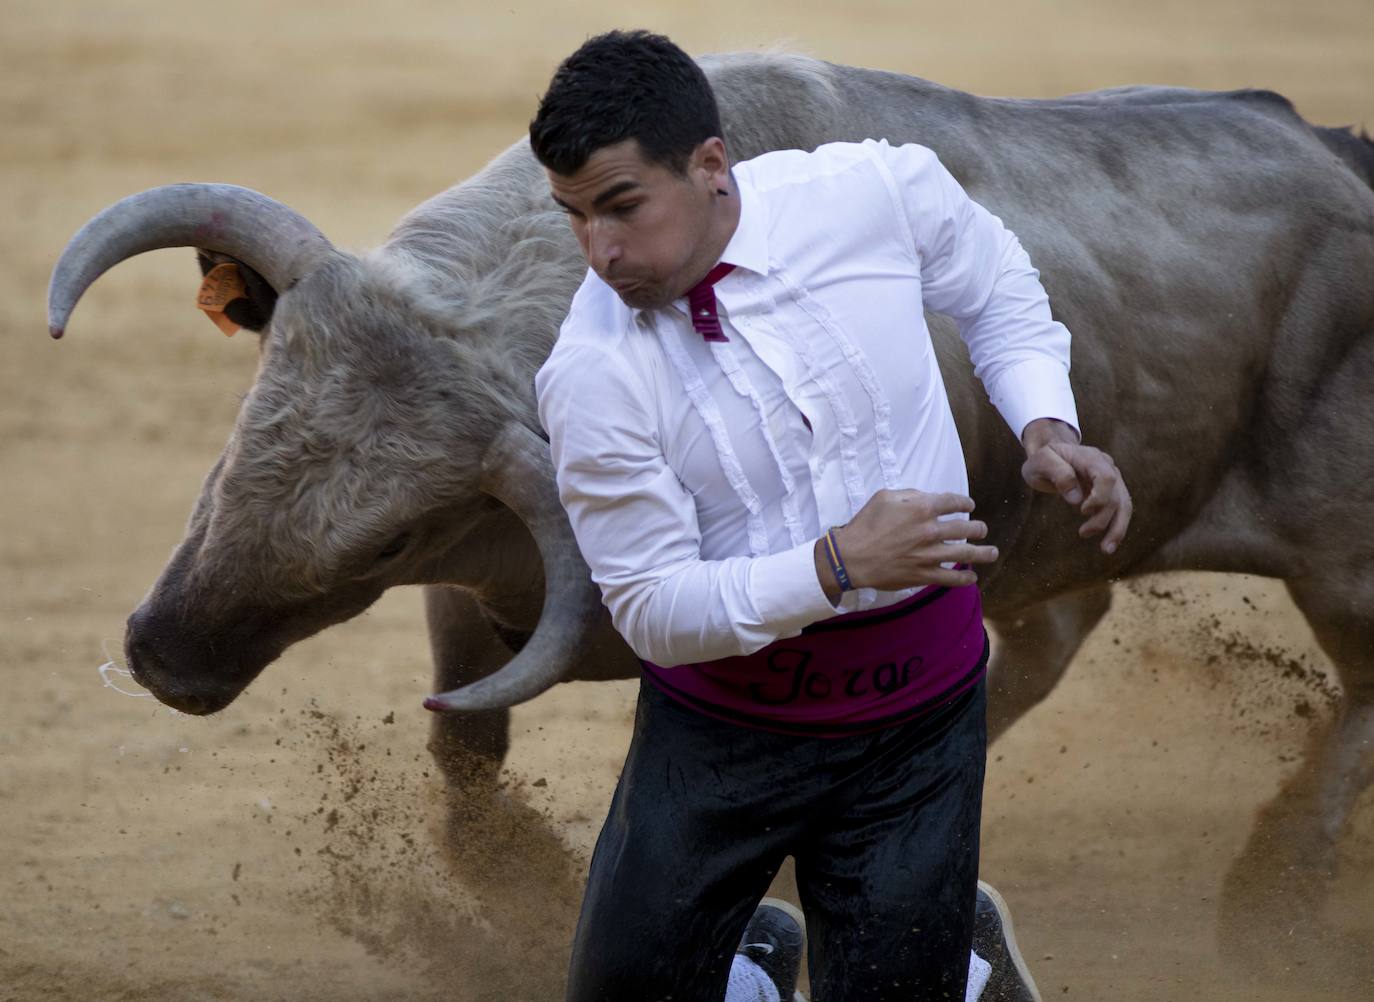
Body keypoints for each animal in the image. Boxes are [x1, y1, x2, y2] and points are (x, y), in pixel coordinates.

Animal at [45, 52, 1374, 962]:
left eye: (386, 535)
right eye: (252, 421)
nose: (161, 656)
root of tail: (1341, 155)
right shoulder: (479, 602)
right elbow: (466, 756)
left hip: (1341, 560)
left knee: (1355, 691)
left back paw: (1273, 899)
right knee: (1048, 633)